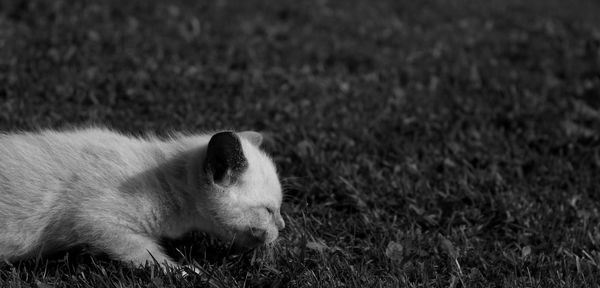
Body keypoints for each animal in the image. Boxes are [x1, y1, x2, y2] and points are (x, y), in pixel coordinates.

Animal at [0, 127, 284, 270]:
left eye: (278, 210)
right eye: (268, 210)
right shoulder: (97, 221)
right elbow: (146, 255)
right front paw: (185, 273)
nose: (282, 226)